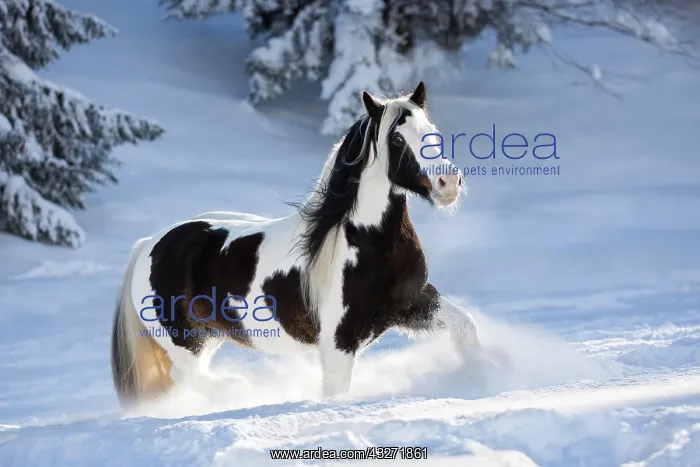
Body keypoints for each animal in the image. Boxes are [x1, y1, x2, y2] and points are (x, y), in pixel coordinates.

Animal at [110, 81, 488, 407]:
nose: (448, 183)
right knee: (187, 376)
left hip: (205, 337)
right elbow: (336, 394)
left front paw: (478, 381)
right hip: (184, 340)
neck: (369, 242)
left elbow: (466, 328)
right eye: (396, 138)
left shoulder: (414, 302)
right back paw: (239, 389)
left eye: (432, 131)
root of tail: (148, 245)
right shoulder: (338, 341)